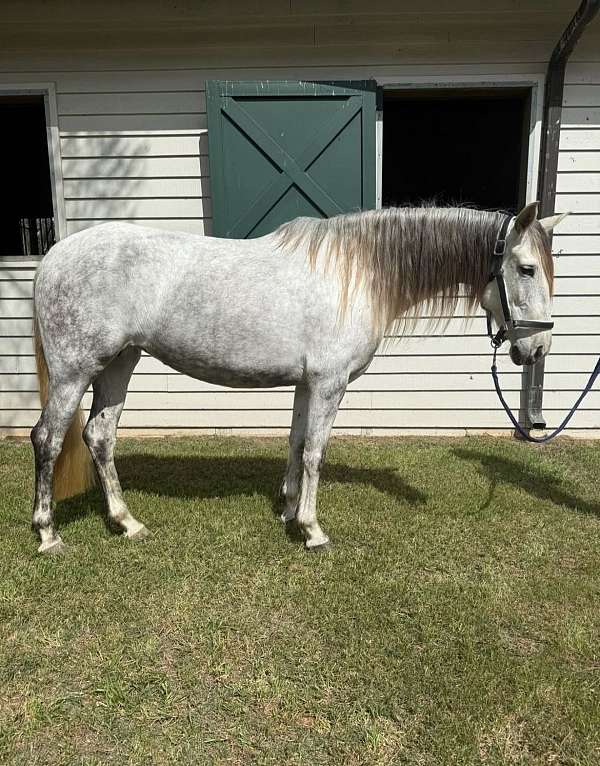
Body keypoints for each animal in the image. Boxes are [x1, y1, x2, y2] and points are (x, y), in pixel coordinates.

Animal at [30, 202, 564, 555]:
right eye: (526, 268)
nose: (537, 348)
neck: (357, 273)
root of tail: (52, 257)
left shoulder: (307, 384)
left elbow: (294, 442)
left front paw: (288, 510)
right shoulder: (330, 382)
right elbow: (315, 452)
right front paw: (311, 530)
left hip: (120, 362)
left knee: (99, 437)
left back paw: (126, 522)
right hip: (75, 370)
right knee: (48, 439)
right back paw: (48, 533)